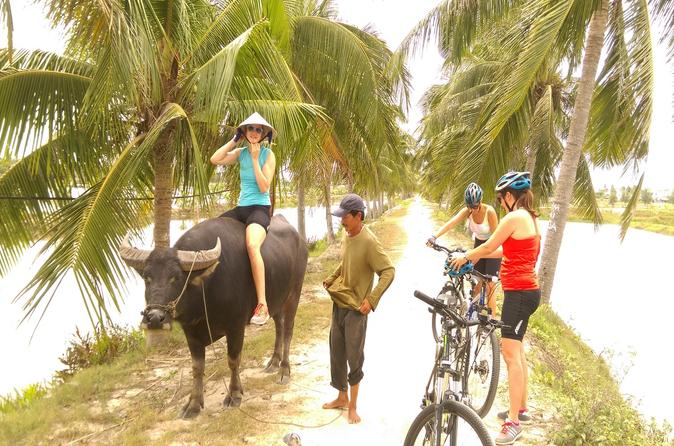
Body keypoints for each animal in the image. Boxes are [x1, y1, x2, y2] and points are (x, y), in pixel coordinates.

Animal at [120, 215, 308, 418]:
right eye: (147, 278)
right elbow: (197, 367)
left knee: (288, 330)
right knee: (279, 326)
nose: (154, 318)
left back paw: (284, 370)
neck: (205, 290)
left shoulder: (235, 327)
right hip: (276, 300)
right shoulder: (191, 332)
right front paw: (193, 404)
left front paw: (234, 394)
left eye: (176, 278)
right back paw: (273, 362)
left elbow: (233, 360)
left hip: (294, 293)